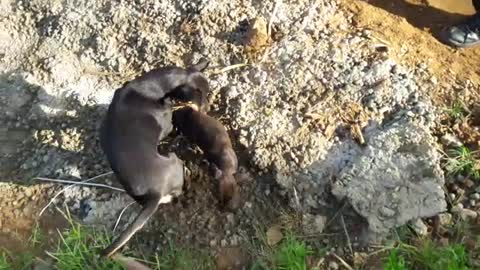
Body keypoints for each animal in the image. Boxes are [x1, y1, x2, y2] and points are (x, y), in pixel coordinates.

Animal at [100, 61, 210, 258]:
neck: (152, 87)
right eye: (203, 97)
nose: (208, 110)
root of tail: (155, 193)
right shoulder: (168, 125)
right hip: (174, 160)